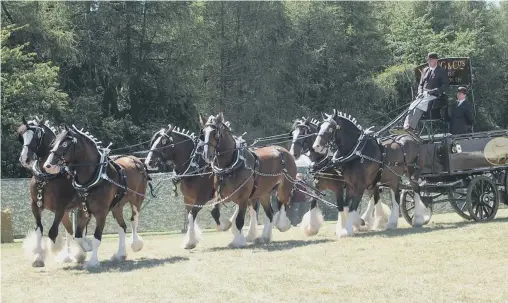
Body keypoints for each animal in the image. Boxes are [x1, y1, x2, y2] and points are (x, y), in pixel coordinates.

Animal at [16, 117, 92, 268]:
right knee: (70, 230)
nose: (25, 159)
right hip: (67, 212)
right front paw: (38, 257)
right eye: (22, 137)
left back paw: (81, 252)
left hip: (80, 208)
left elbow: (52, 232)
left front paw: (53, 248)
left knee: (80, 229)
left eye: (37, 136)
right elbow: (39, 229)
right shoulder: (35, 205)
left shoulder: (60, 207)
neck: (46, 176)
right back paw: (69, 256)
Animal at [43, 125, 150, 268]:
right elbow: (78, 237)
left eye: (64, 144)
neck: (94, 177)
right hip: (117, 206)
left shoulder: (101, 213)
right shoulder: (83, 211)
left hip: (137, 200)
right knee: (122, 227)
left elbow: (97, 238)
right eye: (52, 143)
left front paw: (93, 261)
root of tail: (135, 159)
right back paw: (120, 254)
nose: (48, 165)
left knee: (134, 220)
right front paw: (86, 247)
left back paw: (136, 244)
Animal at [144, 122, 235, 251]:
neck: (195, 166)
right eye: (152, 142)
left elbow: (193, 215)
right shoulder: (188, 198)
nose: (148, 162)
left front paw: (190, 241)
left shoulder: (201, 198)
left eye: (163, 142)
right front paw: (192, 239)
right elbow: (190, 215)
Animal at [200, 113, 298, 248]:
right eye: (203, 132)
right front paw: (226, 225)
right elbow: (215, 212)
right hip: (264, 193)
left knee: (283, 204)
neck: (230, 166)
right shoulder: (221, 195)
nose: (207, 155)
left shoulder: (243, 197)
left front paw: (238, 241)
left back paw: (282, 225)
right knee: (270, 213)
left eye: (215, 132)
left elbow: (239, 220)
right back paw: (265, 237)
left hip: (285, 188)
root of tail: (283, 150)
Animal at [312, 109, 426, 238]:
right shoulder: (350, 185)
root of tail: (413, 138)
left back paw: (417, 219)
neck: (357, 152)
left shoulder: (360, 186)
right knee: (396, 196)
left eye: (331, 128)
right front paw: (355, 224)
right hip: (393, 178)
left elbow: (353, 207)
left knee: (416, 190)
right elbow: (346, 206)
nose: (316, 146)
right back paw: (392, 223)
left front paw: (349, 229)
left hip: (412, 172)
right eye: (319, 127)